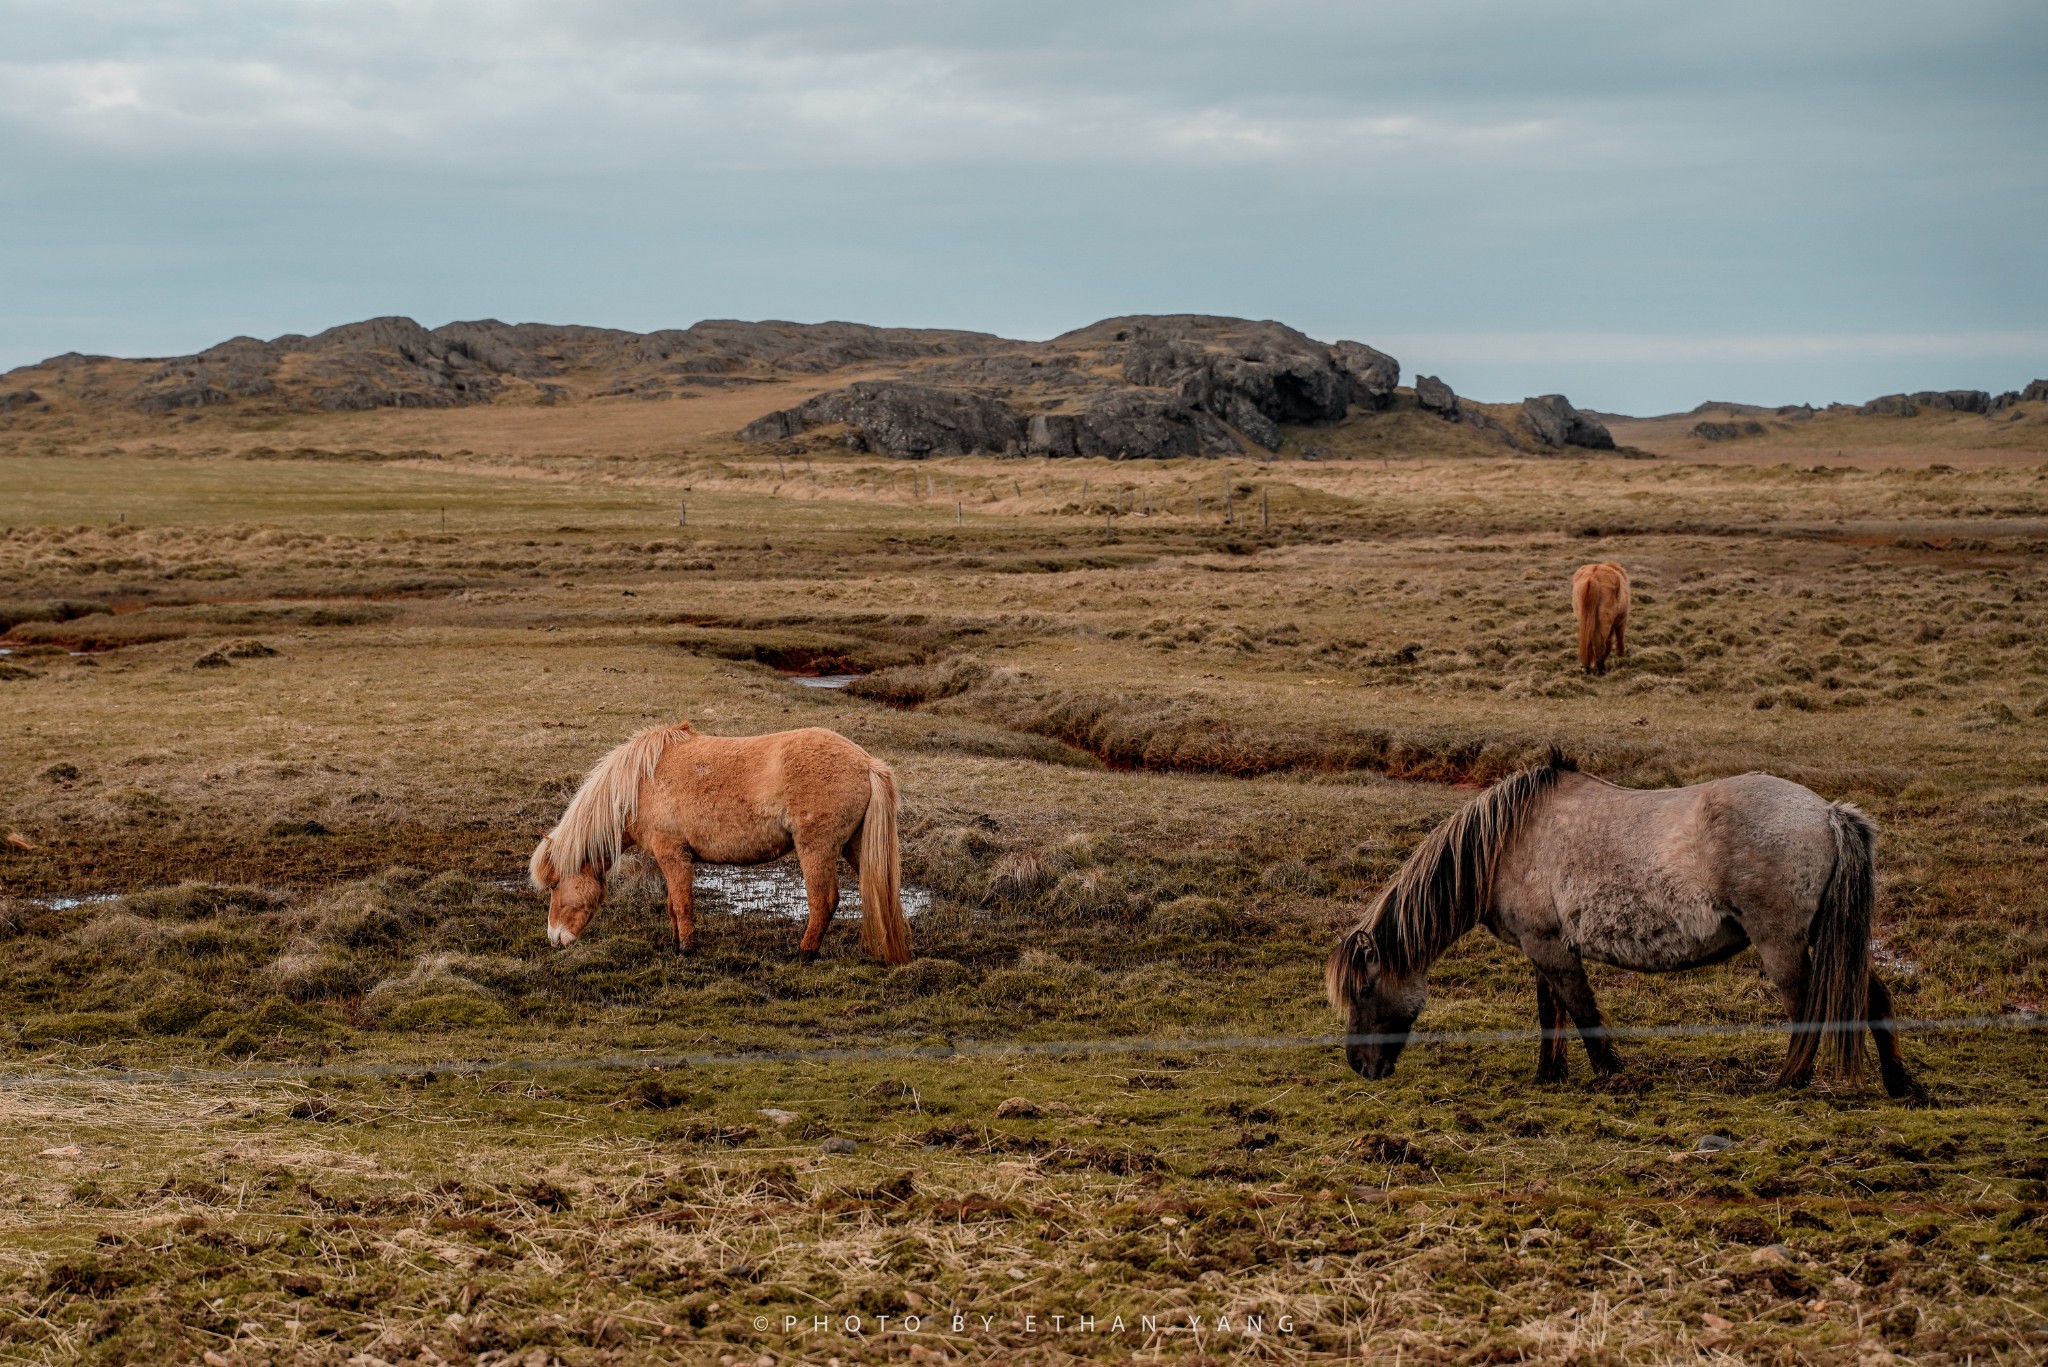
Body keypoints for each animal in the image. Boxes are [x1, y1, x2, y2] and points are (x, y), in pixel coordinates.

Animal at [532, 725, 909, 963]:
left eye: (554, 884)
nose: (555, 939)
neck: (642, 782)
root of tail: (866, 763)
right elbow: (672, 904)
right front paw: (675, 942)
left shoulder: (673, 855)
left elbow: (683, 904)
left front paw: (686, 949)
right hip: (854, 847)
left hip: (815, 848)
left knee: (823, 902)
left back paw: (804, 955)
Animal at [1327, 758, 1916, 1098]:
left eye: (1363, 989)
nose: (1360, 1066)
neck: (1508, 842)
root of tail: (1828, 813)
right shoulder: (1542, 947)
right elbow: (1551, 1013)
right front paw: (1548, 1076)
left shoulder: (1551, 948)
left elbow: (1582, 1012)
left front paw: (1612, 1075)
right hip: (1825, 937)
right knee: (1873, 998)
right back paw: (1902, 1085)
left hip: (1783, 945)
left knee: (1807, 1010)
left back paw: (1788, 1082)